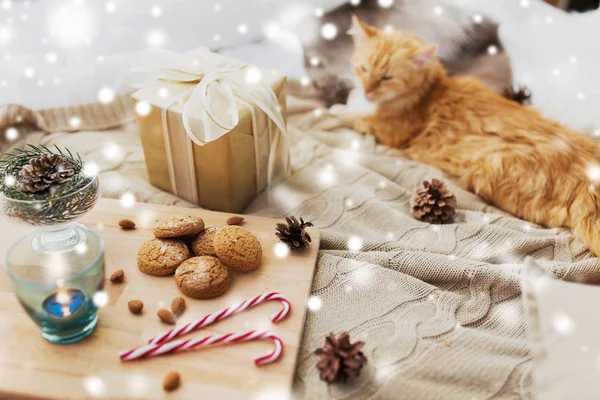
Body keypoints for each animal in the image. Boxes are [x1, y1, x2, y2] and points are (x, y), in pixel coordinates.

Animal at [350, 15, 600, 256]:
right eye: (363, 69)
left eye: (386, 78)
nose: (367, 90)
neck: (431, 91)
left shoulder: (387, 130)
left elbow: (348, 115)